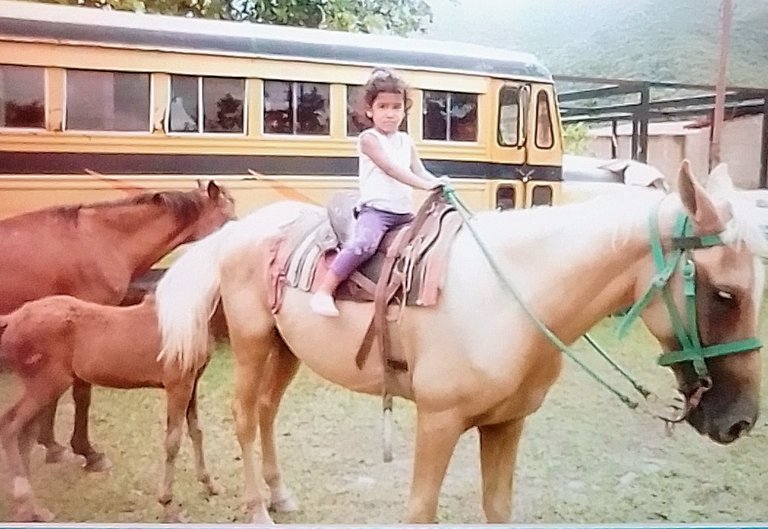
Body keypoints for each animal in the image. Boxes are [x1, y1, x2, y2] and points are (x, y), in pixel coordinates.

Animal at [0, 294, 216, 520]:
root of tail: (12, 319)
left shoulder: (192, 383)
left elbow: (196, 431)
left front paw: (209, 485)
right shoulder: (178, 385)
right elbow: (173, 442)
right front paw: (168, 505)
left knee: (24, 436)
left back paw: (32, 509)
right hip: (47, 385)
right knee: (9, 426)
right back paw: (26, 500)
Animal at [154, 162, 760, 524]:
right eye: (725, 294)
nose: (742, 422)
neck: (512, 295)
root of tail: (240, 230)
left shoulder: (506, 425)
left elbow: (498, 508)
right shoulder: (439, 422)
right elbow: (421, 510)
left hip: (286, 351)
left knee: (264, 412)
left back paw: (280, 497)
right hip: (253, 343)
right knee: (242, 416)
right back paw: (258, 509)